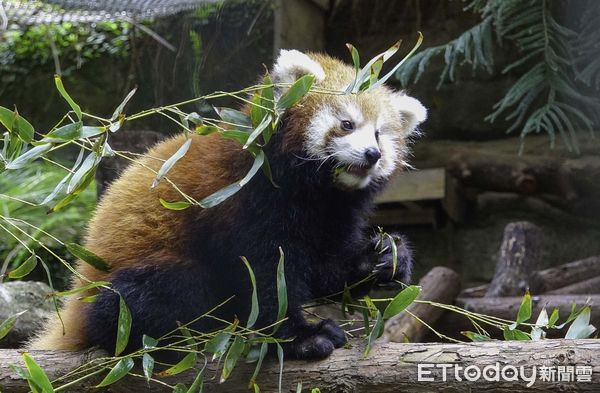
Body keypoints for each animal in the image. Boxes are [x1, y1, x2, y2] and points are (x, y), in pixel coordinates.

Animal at [29, 49, 426, 358]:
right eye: (346, 124)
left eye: (379, 134)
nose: (373, 154)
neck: (312, 191)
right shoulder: (243, 199)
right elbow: (264, 277)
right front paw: (301, 338)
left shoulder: (332, 214)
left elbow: (325, 267)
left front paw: (384, 256)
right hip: (134, 279)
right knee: (157, 294)